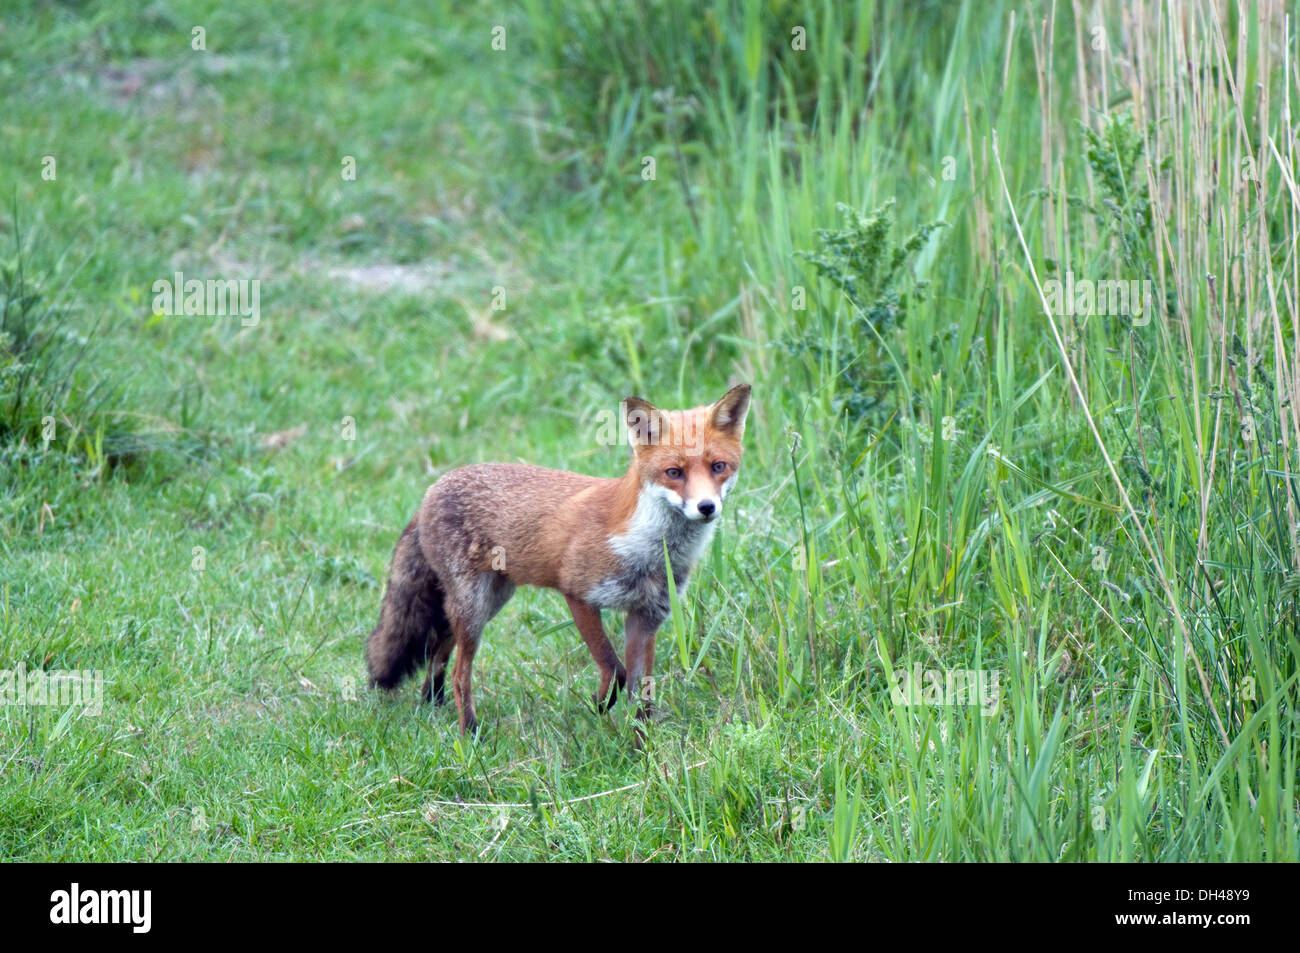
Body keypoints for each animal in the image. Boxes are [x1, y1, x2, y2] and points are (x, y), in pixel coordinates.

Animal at [366, 382, 754, 733]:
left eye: (718, 467)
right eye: (674, 473)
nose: (707, 507)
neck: (649, 551)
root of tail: (430, 491)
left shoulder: (646, 616)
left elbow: (641, 693)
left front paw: (642, 748)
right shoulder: (578, 594)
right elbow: (615, 670)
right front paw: (600, 705)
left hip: (490, 601)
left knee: (439, 649)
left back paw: (432, 703)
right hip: (474, 607)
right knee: (461, 673)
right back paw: (469, 733)